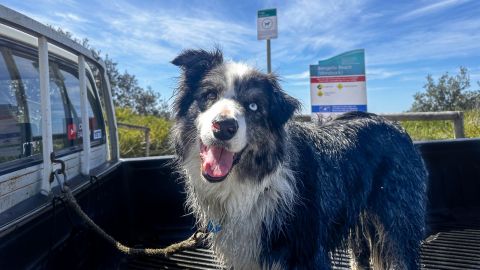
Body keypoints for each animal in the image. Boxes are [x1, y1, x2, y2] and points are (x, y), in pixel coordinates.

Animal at [171, 49, 426, 270]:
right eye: (210, 95)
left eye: (253, 106)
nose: (224, 127)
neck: (254, 188)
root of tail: (395, 126)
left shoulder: (310, 252)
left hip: (399, 219)